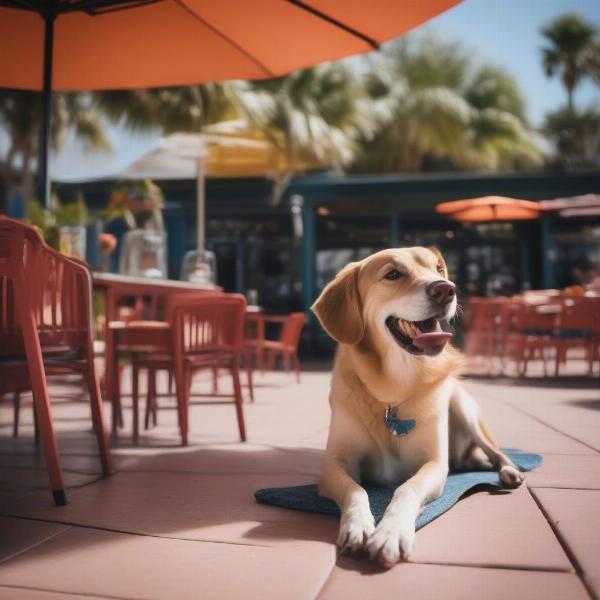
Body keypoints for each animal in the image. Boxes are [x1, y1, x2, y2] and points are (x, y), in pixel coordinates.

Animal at [312, 247, 524, 568]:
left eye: (439, 269)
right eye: (393, 274)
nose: (445, 289)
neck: (393, 389)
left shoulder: (434, 464)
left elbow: (405, 488)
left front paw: (390, 533)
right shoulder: (334, 465)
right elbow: (355, 490)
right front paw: (358, 526)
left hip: (464, 409)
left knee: (496, 452)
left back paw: (509, 471)